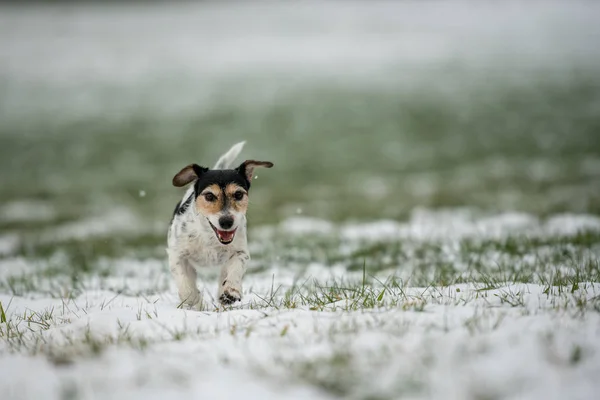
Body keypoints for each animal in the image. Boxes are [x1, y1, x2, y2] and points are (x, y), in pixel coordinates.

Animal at [166, 142, 274, 308]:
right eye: (209, 196)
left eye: (238, 194)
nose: (226, 221)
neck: (210, 237)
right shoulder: (177, 255)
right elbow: (185, 283)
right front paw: (193, 299)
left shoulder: (240, 252)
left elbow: (235, 270)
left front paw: (231, 292)